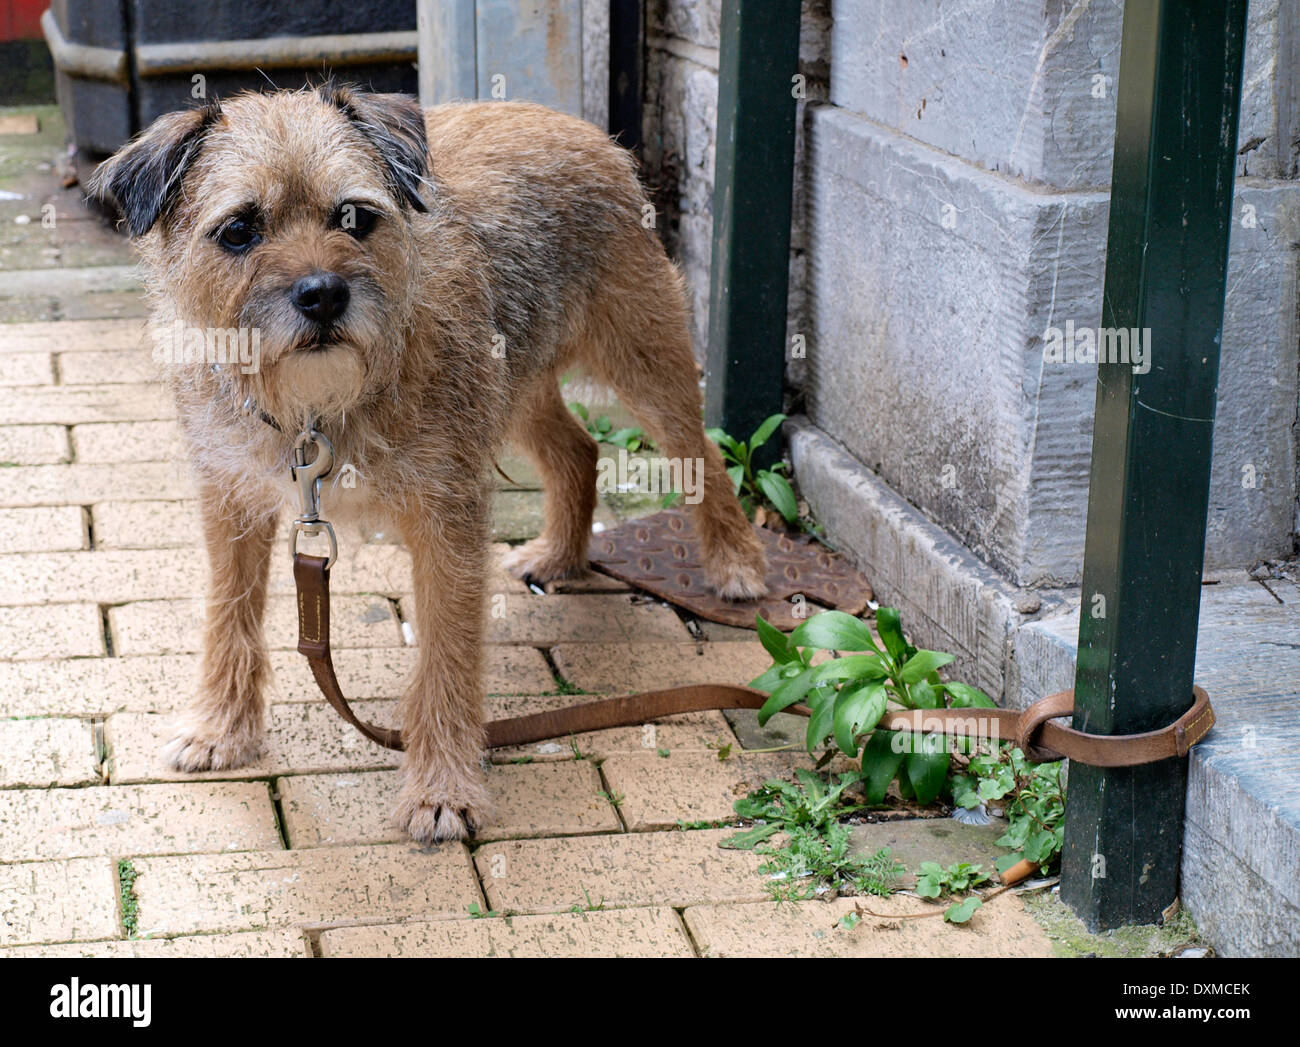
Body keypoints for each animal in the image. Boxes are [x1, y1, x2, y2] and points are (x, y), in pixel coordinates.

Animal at [91, 85, 764, 848]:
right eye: (239, 230)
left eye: (355, 217)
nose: (323, 293)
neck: (318, 410)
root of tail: (584, 129)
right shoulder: (231, 497)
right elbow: (228, 614)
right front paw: (220, 729)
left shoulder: (447, 516)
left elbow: (446, 652)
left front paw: (442, 788)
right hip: (518, 385)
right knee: (579, 451)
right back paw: (559, 556)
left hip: (645, 360)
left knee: (704, 455)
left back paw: (735, 563)